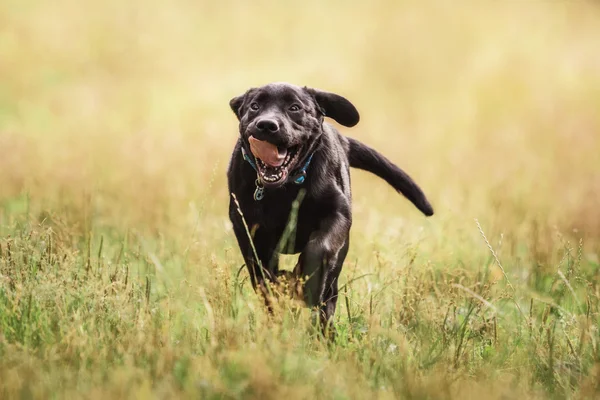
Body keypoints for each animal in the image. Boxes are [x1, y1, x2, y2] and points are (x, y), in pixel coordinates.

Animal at [227, 82, 434, 332]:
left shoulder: (337, 215)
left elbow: (319, 248)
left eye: (295, 107)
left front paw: (305, 280)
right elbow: (260, 271)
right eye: (255, 106)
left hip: (340, 257)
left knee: (328, 299)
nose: (267, 125)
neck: (287, 189)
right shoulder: (245, 226)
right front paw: (280, 288)